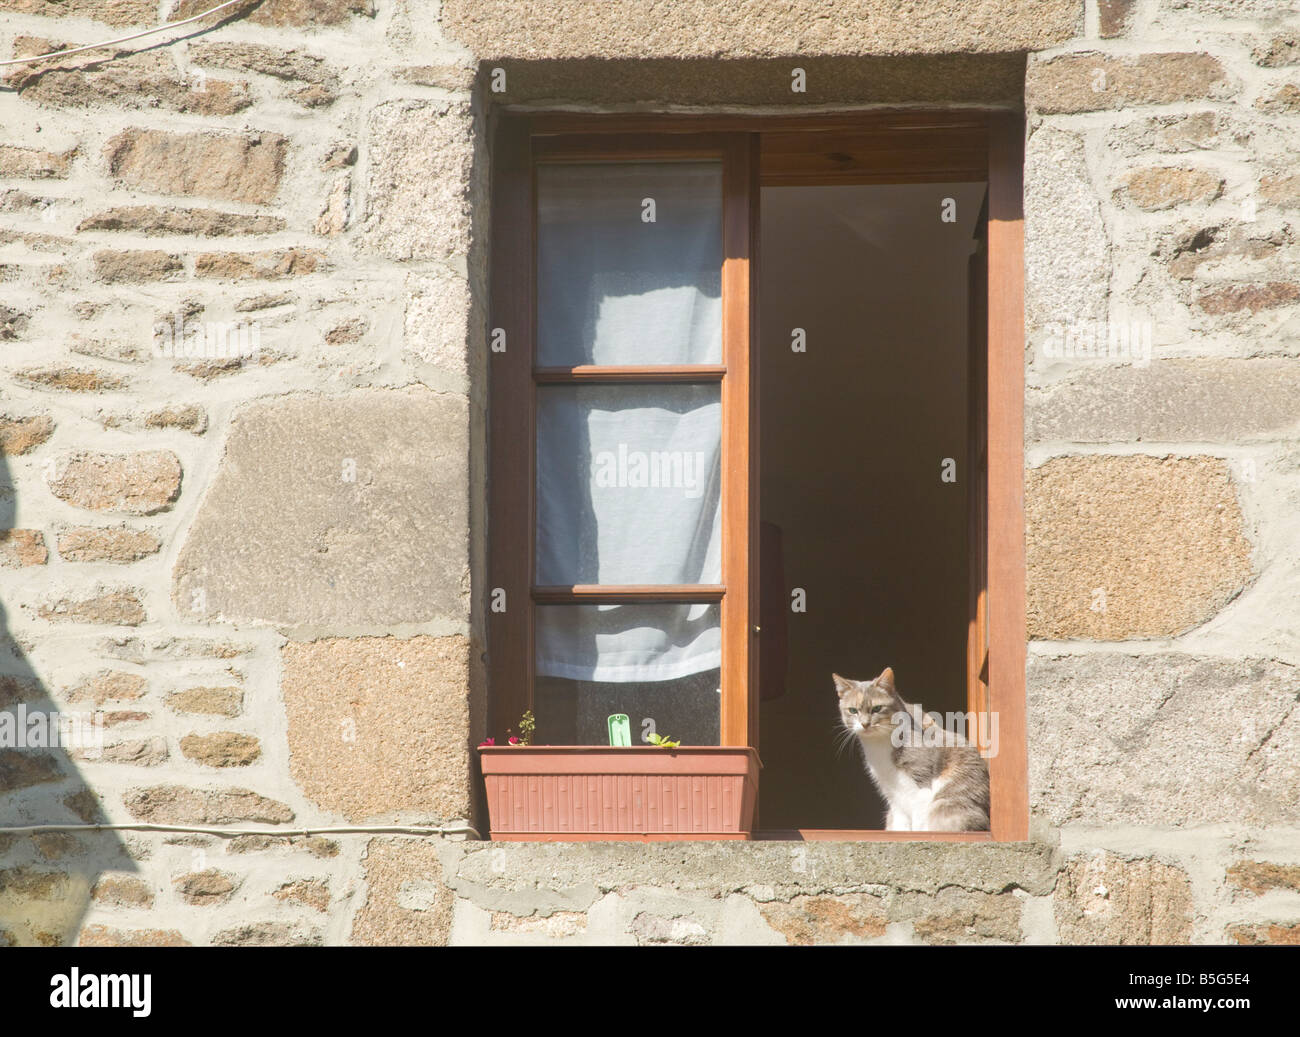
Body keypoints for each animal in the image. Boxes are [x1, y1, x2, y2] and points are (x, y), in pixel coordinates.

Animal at [837, 670, 987, 831]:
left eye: (877, 708)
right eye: (853, 711)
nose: (865, 724)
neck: (878, 745)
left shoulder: (922, 783)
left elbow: (919, 820)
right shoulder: (892, 793)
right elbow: (900, 822)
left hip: (944, 805)